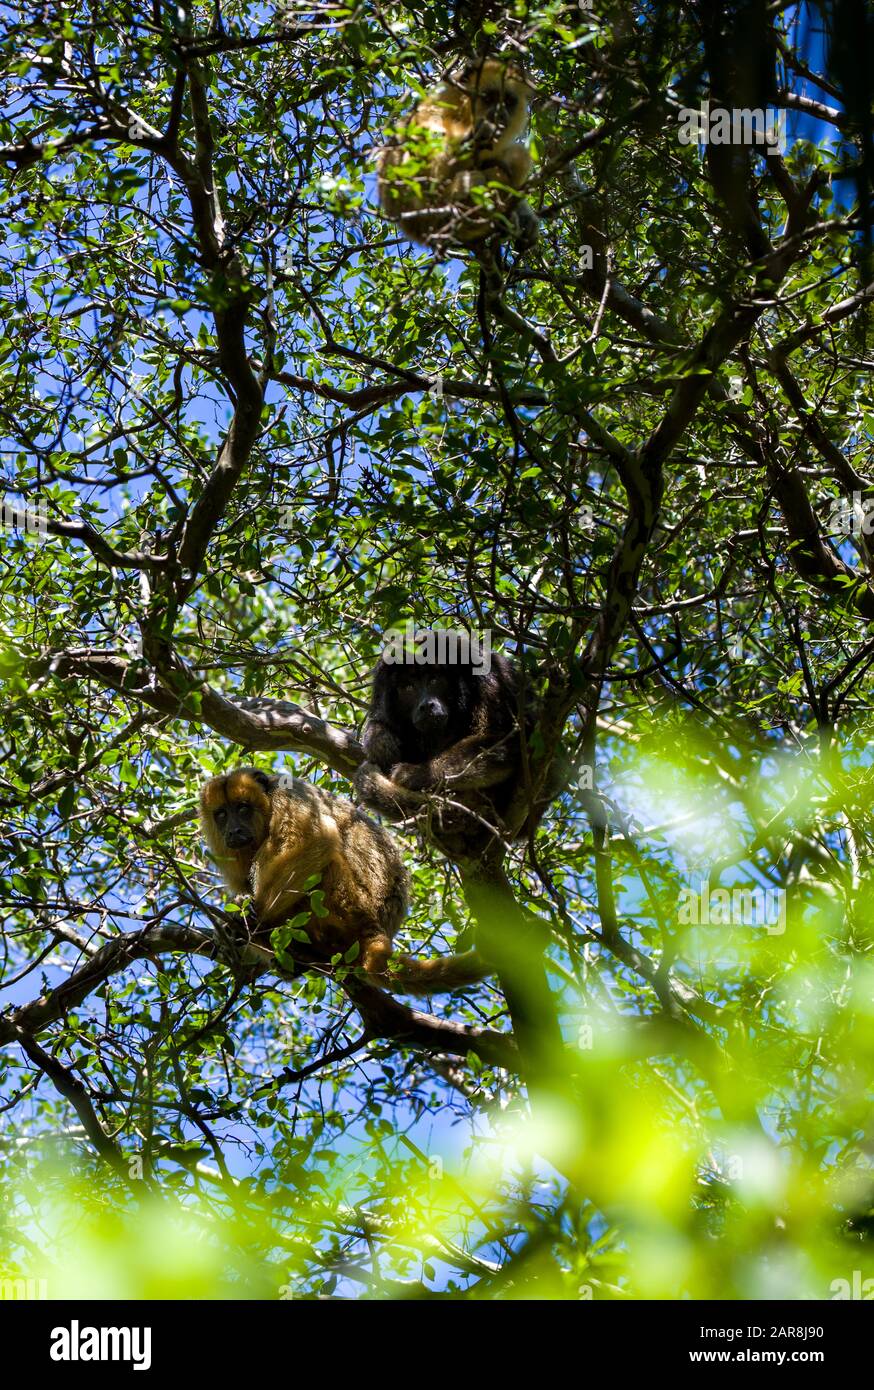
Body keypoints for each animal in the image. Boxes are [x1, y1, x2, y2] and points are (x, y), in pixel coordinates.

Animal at [197, 772, 491, 989]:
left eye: (243, 809)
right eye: (221, 814)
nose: (234, 830)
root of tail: (377, 928)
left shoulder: (289, 794)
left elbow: (314, 839)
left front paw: (249, 917)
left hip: (346, 904)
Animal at [375, 56, 539, 248]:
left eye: (508, 101)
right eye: (489, 98)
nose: (500, 115)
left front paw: (526, 218)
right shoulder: (442, 98)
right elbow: (422, 129)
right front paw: (473, 136)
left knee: (517, 154)